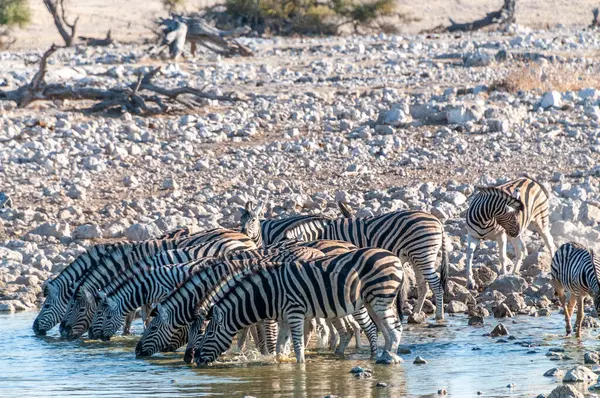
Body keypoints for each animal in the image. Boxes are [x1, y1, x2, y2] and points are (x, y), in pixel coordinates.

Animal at [55, 230, 253, 338]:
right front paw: (128, 333)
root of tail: (242, 237)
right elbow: (136, 313)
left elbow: (144, 313)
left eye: (79, 309)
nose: (63, 331)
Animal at [191, 247, 408, 366]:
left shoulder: (294, 313)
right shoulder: (285, 319)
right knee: (383, 329)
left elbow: (297, 347)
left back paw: (389, 357)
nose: (197, 360)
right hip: (371, 301)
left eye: (208, 334)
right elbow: (280, 347)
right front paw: (280, 364)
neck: (269, 294)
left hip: (380, 297)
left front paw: (300, 367)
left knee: (395, 329)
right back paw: (383, 355)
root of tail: (395, 257)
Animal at [270, 208, 448, 320]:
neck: (322, 234)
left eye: (285, 250)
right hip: (417, 256)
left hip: (423, 252)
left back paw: (439, 316)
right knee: (423, 285)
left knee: (436, 284)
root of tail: (438, 222)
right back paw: (415, 314)